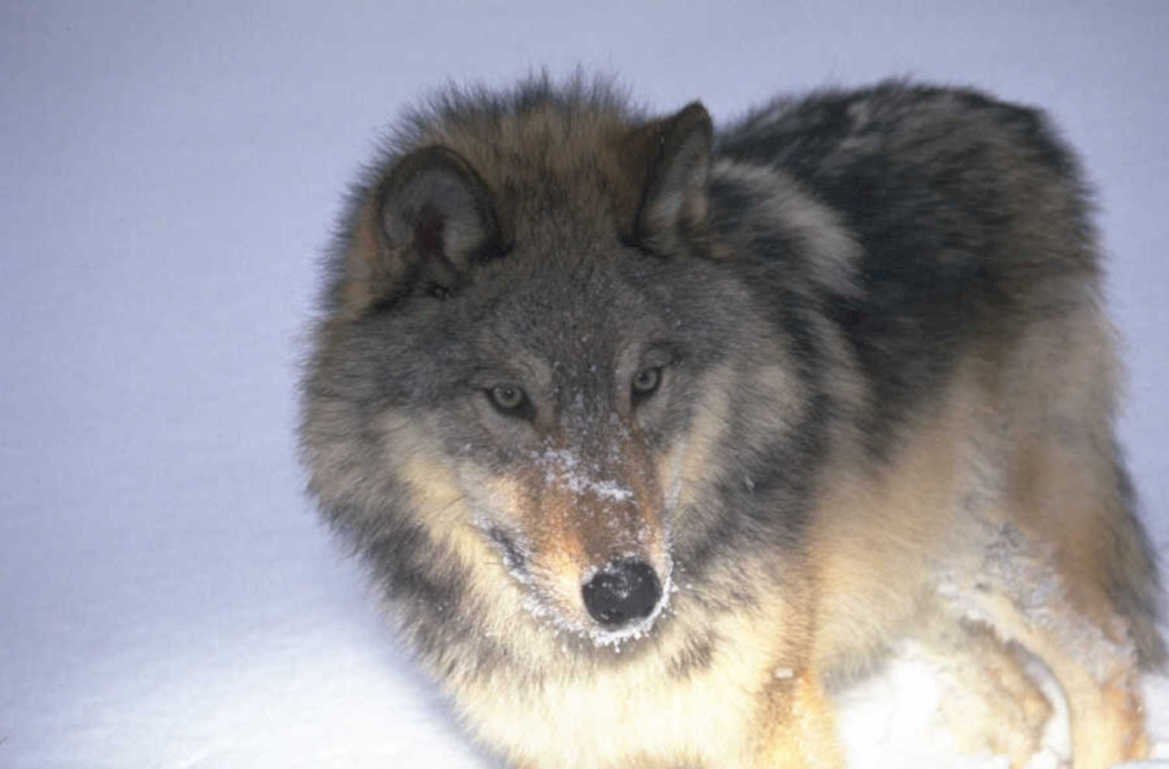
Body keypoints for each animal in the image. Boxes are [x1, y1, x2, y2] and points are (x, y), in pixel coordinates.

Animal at [299, 76, 1164, 769]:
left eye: (646, 380)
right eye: (509, 397)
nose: (626, 593)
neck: (603, 661)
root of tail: (1014, 123)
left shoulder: (768, 711)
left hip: (1001, 550)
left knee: (1109, 676)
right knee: (1023, 702)